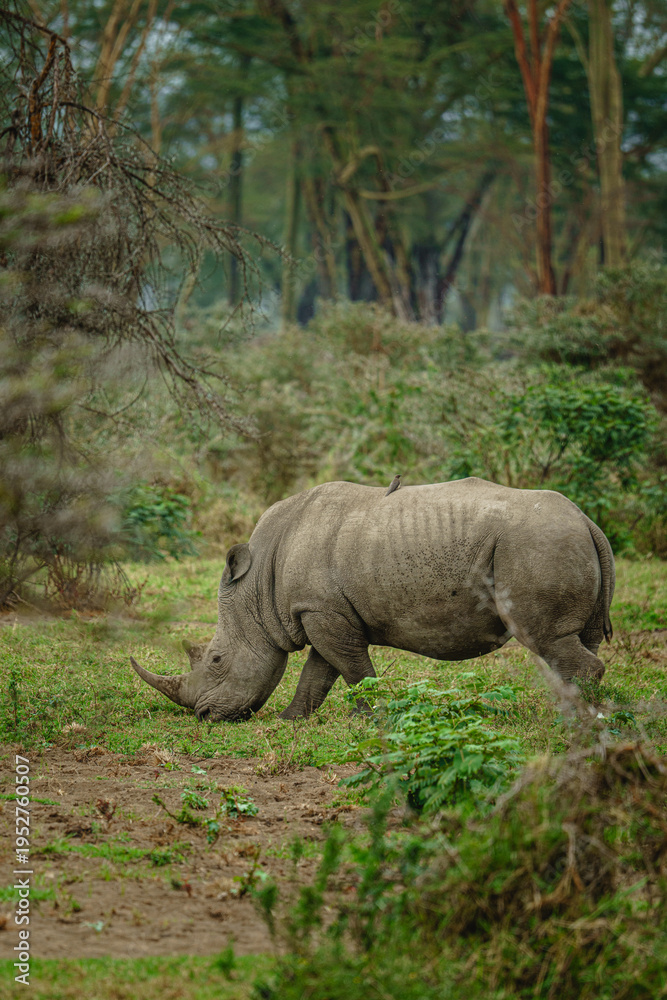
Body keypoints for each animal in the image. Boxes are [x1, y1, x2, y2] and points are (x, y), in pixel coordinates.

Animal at [130, 478, 614, 721]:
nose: (204, 715)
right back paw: (577, 714)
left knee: (546, 639)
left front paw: (375, 718)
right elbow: (321, 672)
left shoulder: (321, 611)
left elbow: (353, 670)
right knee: (572, 641)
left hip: (537, 545)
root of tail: (588, 521)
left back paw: (576, 722)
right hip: (557, 542)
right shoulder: (322, 609)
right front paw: (292, 719)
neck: (257, 588)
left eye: (215, 660)